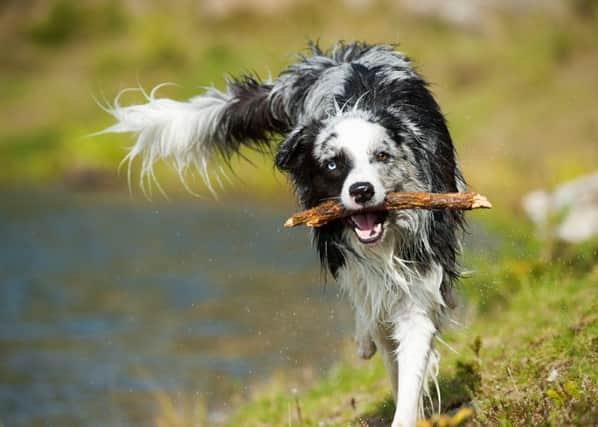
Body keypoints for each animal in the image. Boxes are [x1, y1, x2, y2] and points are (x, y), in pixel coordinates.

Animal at [99, 41, 468, 427]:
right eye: (333, 164)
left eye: (381, 156)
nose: (362, 190)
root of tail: (336, 58)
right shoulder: (365, 274)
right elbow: (387, 343)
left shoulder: (416, 283)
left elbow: (410, 364)